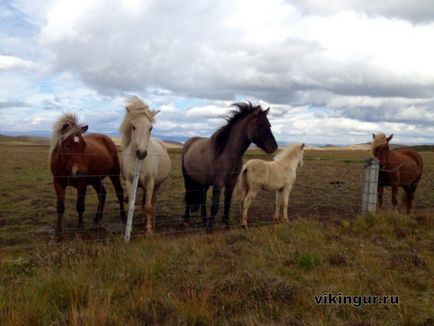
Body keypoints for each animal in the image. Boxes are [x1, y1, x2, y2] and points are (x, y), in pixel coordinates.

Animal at [121, 95, 172, 233]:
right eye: (133, 127)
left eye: (150, 128)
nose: (142, 153)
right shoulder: (129, 182)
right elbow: (131, 205)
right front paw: (129, 228)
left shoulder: (150, 182)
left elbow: (148, 206)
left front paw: (149, 230)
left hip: (157, 185)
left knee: (153, 202)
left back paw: (152, 222)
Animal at [182, 102, 278, 232]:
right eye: (260, 125)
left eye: (269, 125)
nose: (274, 147)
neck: (228, 153)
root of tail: (190, 141)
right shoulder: (218, 183)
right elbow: (215, 206)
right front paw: (210, 229)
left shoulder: (231, 183)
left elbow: (227, 204)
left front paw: (226, 226)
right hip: (187, 178)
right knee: (188, 195)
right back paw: (187, 220)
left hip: (203, 181)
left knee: (202, 197)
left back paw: (204, 220)